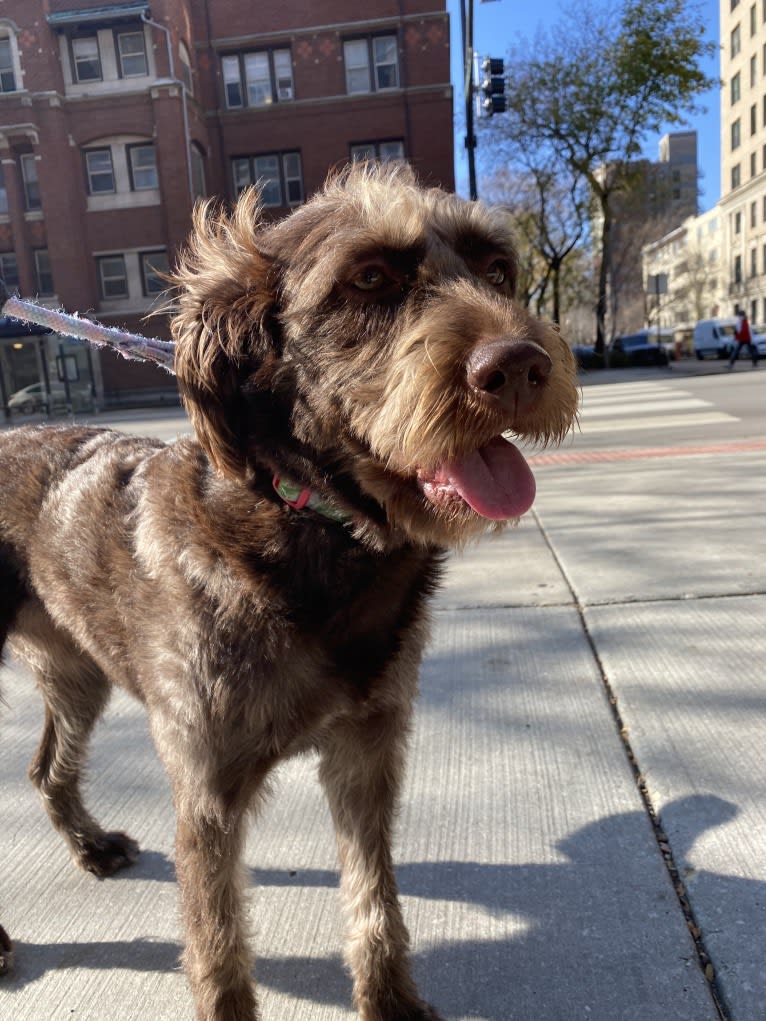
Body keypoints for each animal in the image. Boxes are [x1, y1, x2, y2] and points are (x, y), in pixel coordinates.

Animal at [0, 163, 580, 1016]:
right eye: (368, 279)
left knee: (47, 766)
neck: (314, 530)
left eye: (500, 270)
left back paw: (91, 844)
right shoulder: (207, 792)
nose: (519, 367)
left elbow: (375, 895)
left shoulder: (367, 750)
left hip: (76, 674)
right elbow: (220, 952)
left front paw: (390, 996)